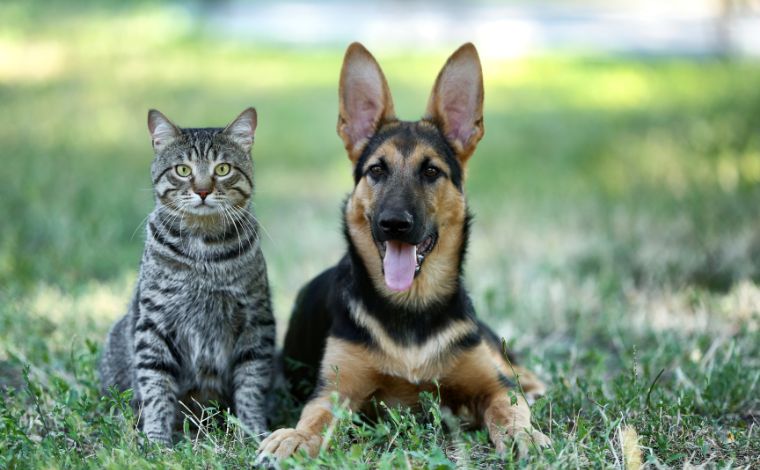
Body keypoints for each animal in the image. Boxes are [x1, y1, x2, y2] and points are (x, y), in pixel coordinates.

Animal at [99, 107, 274, 444]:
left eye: (222, 169)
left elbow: (251, 383)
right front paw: (157, 439)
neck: (203, 253)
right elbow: (156, 385)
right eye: (182, 170)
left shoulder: (255, 319)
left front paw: (253, 432)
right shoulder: (154, 322)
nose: (203, 190)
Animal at [258, 42, 548, 460]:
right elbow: (314, 418)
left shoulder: (491, 386)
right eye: (377, 170)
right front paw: (294, 437)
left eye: (431, 171)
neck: (411, 306)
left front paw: (524, 435)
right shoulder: (334, 392)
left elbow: (509, 408)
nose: (394, 224)